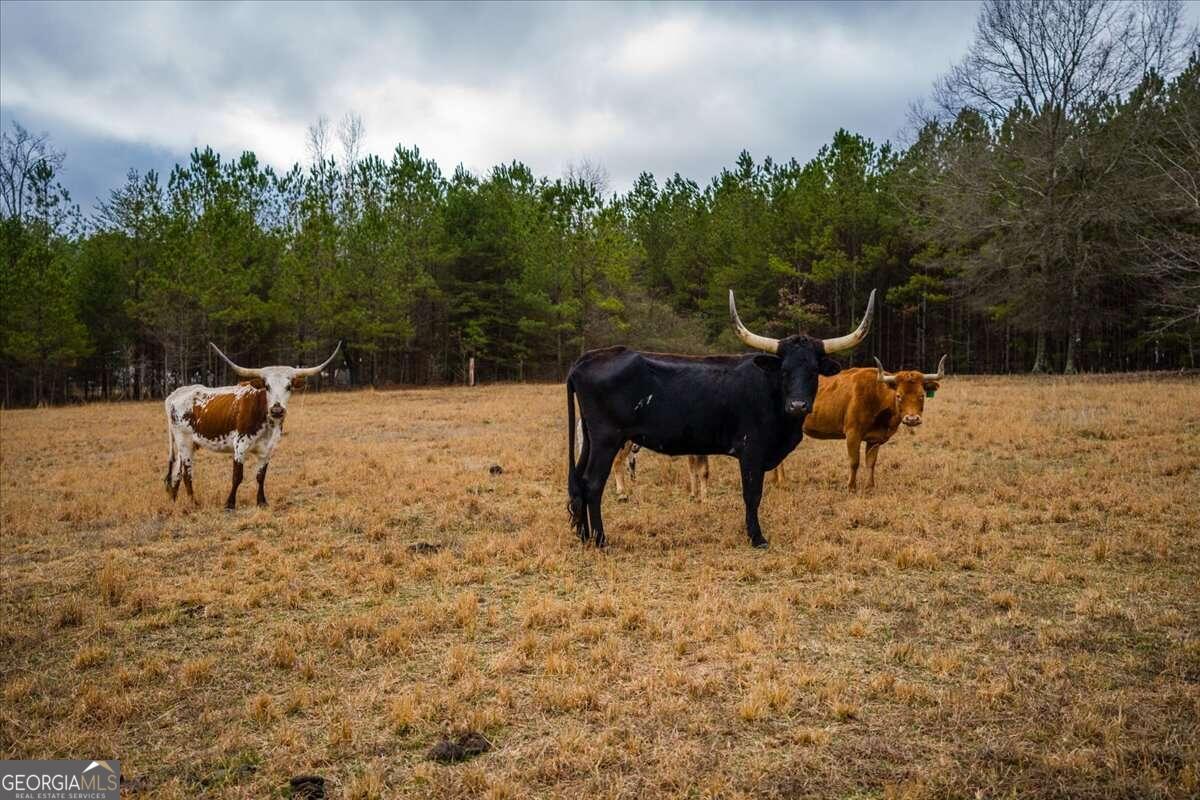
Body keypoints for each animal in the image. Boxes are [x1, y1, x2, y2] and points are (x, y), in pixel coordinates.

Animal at [164, 340, 343, 510]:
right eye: (267, 386)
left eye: (288, 386)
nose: (277, 410)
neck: (266, 423)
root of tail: (175, 394)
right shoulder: (239, 446)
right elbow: (237, 476)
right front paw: (229, 504)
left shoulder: (268, 449)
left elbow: (261, 476)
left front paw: (261, 502)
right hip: (184, 441)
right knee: (187, 473)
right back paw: (193, 503)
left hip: (189, 444)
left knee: (176, 472)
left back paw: (173, 501)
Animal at [566, 289, 878, 551]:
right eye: (784, 370)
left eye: (814, 371)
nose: (798, 405)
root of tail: (588, 358)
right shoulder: (751, 451)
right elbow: (752, 494)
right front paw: (757, 538)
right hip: (608, 439)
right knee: (593, 483)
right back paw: (601, 541)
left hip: (591, 440)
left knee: (579, 481)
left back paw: (583, 535)